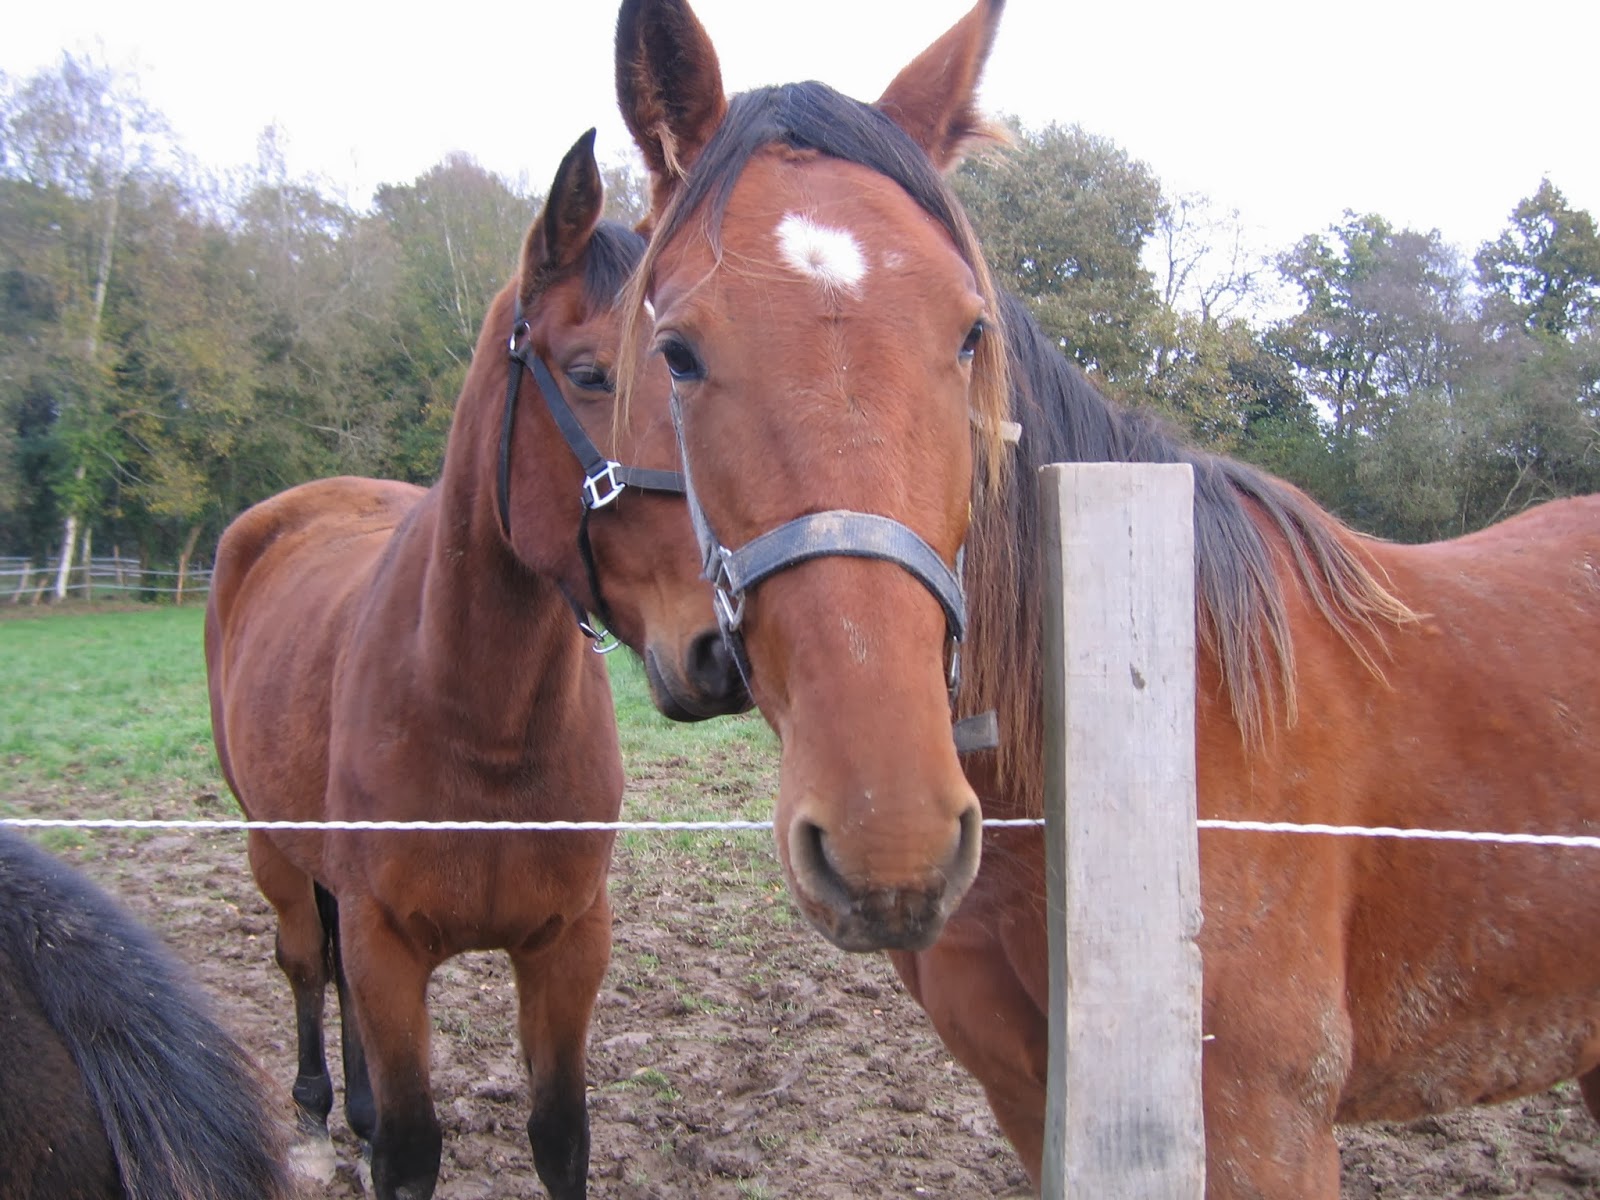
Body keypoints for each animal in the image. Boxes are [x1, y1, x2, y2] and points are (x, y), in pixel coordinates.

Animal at [204, 130, 747, 1200]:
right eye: (588, 374)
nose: (720, 649)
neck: (480, 723)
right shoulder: (386, 945)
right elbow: (411, 1149)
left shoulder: (567, 947)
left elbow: (560, 1136)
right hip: (271, 845)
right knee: (305, 964)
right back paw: (316, 1115)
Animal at [611, 1, 1600, 1194]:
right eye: (677, 352)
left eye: (970, 334)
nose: (890, 834)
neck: (1135, 720)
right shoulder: (1029, 1097)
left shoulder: (1269, 1124)